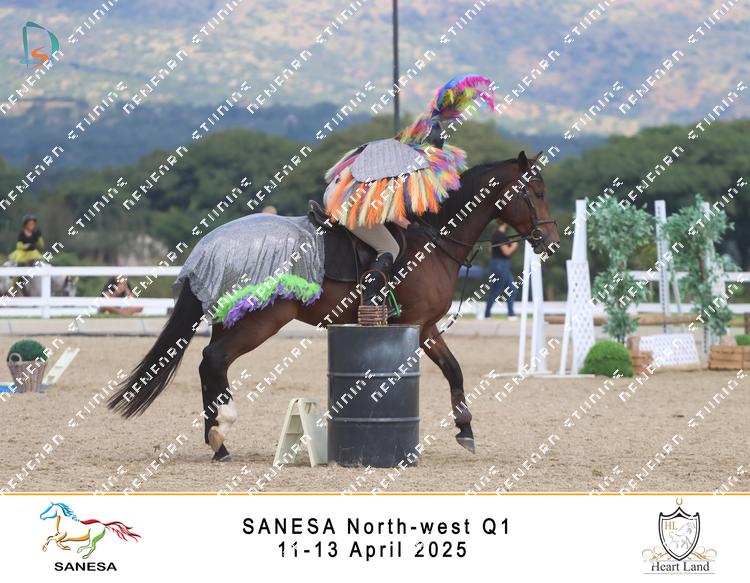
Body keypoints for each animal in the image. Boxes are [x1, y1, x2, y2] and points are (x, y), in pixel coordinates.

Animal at [108, 150, 560, 461]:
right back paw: (222, 432)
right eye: (536, 193)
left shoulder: (427, 327)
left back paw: (217, 442)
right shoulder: (417, 325)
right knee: (214, 359)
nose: (552, 242)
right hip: (261, 321)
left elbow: (454, 370)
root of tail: (209, 245)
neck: (433, 240)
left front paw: (465, 430)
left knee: (208, 365)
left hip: (231, 318)